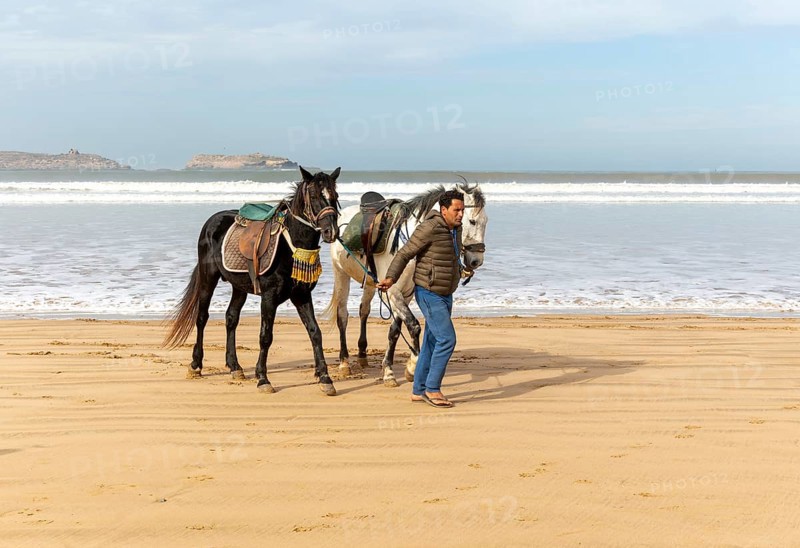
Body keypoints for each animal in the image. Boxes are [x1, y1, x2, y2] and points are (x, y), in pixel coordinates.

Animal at [164, 166, 342, 396]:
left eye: (335, 196)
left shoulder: (302, 295)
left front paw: (325, 378)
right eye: (313, 195)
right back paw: (196, 364)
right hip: (207, 279)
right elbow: (265, 336)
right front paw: (263, 378)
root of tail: (212, 221)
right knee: (202, 317)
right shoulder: (269, 297)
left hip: (239, 286)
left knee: (231, 318)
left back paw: (234, 366)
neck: (289, 246)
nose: (331, 231)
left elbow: (315, 332)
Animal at [323, 182, 487, 387]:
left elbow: (395, 330)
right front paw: (412, 365)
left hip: (370, 282)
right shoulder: (393, 292)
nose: (476, 261)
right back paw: (344, 363)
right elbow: (413, 326)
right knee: (342, 316)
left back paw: (362, 355)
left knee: (364, 310)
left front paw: (389, 370)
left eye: (486, 221)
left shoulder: (405, 294)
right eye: (472, 221)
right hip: (341, 274)